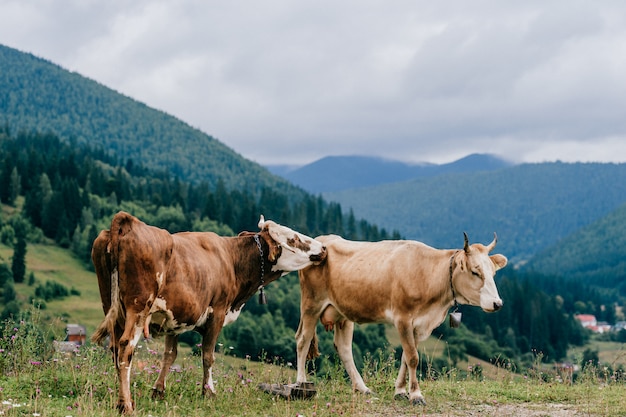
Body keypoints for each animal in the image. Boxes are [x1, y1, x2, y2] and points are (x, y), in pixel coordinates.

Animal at [294, 231, 504, 404]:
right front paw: (416, 395)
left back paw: (362, 388)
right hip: (311, 304)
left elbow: (405, 357)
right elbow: (413, 358)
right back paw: (302, 383)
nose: (497, 303)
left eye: (493, 272)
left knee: (343, 348)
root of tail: (321, 240)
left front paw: (401, 391)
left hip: (342, 312)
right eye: (475, 271)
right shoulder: (402, 318)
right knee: (303, 340)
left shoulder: (418, 325)